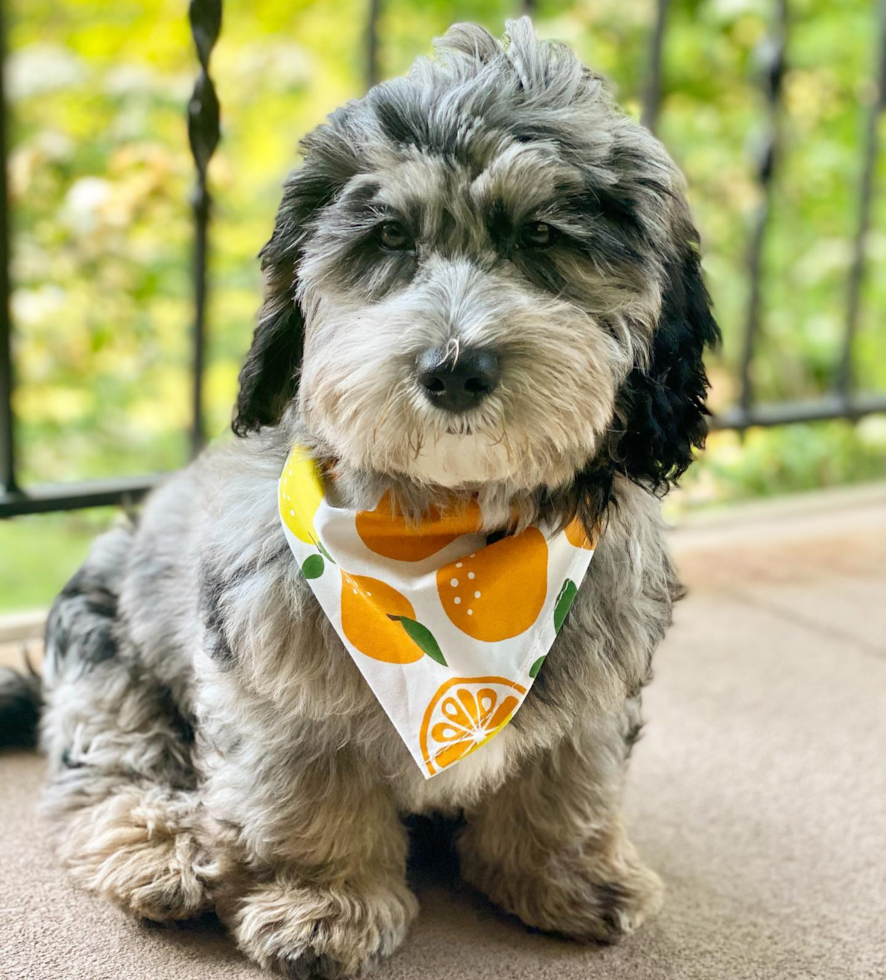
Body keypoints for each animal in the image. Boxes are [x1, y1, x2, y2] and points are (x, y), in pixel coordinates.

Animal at [3, 17, 720, 980]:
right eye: (388, 239)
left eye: (541, 236)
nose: (454, 368)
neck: (444, 534)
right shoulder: (275, 682)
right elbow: (310, 795)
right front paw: (324, 903)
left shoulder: (599, 673)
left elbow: (568, 776)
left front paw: (563, 873)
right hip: (104, 653)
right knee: (111, 762)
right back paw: (164, 846)